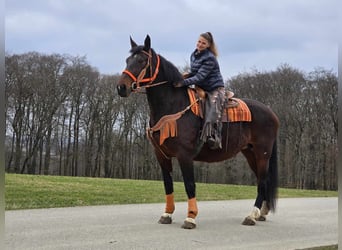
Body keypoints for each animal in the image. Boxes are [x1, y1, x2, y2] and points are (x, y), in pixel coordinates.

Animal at [116, 34, 280, 229]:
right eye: (127, 60)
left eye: (141, 60)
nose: (121, 87)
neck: (173, 105)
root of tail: (271, 113)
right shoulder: (162, 155)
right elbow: (168, 185)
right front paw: (167, 214)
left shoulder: (185, 155)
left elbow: (189, 185)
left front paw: (190, 217)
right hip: (250, 153)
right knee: (264, 181)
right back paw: (261, 213)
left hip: (262, 153)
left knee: (262, 181)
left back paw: (251, 216)